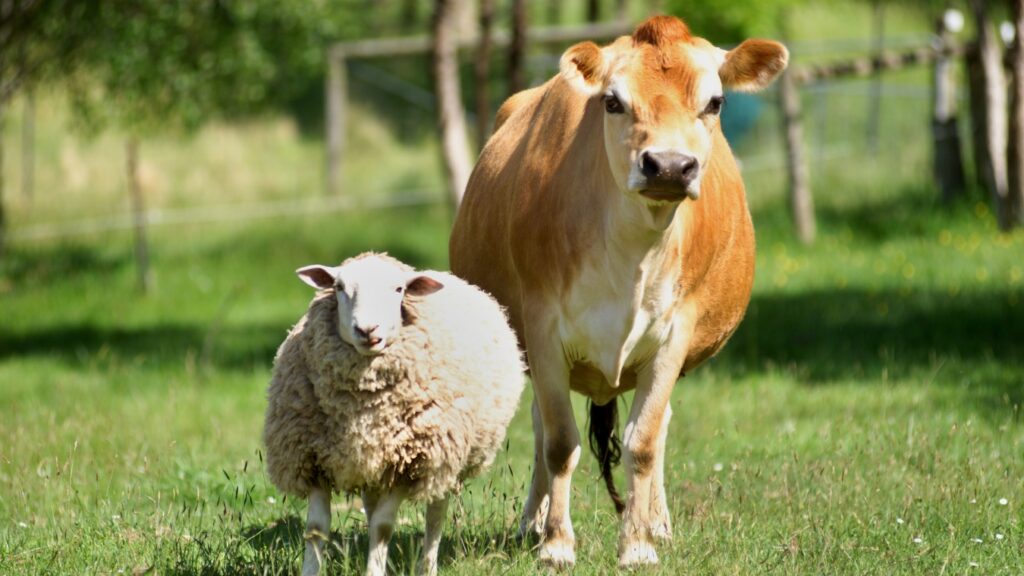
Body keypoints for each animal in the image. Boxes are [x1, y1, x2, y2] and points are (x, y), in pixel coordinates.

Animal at [264, 252, 524, 573]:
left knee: (435, 515)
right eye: (338, 287)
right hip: (371, 461)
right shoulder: (311, 458)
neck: (361, 404)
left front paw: (374, 570)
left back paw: (428, 567)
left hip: (443, 459)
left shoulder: (409, 464)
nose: (367, 330)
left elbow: (383, 527)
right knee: (372, 504)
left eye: (399, 289)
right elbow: (316, 529)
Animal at [448, 13, 782, 565]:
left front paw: (638, 545)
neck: (631, 255)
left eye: (715, 102)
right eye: (613, 101)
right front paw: (556, 544)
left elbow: (643, 440)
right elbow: (558, 442)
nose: (669, 165)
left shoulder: (674, 337)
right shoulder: (542, 330)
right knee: (541, 427)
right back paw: (532, 522)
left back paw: (657, 522)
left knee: (658, 425)